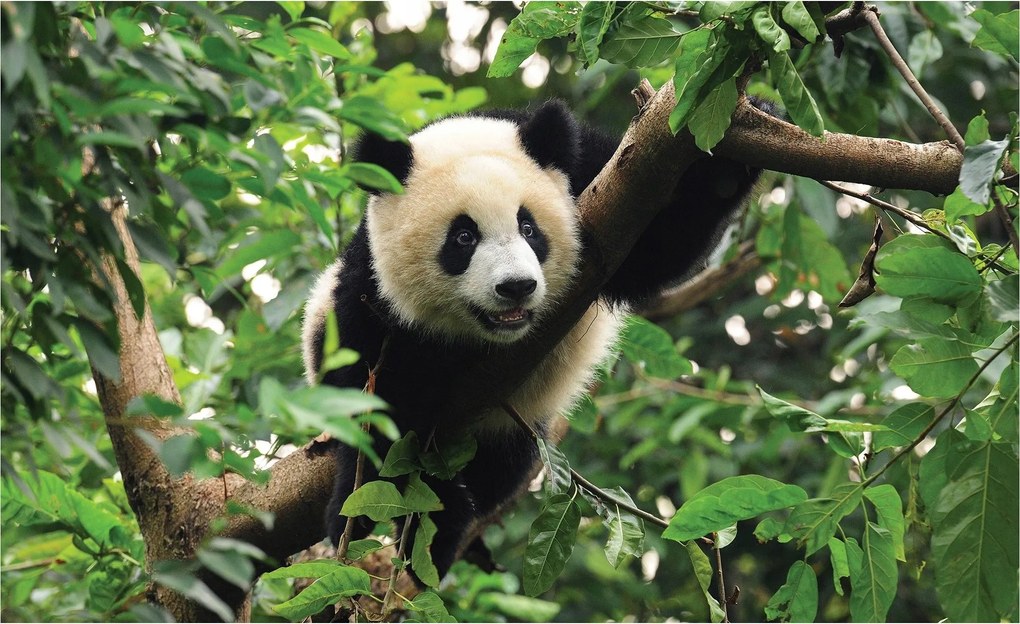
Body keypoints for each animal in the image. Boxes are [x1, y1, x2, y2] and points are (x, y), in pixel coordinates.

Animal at [302, 99, 768, 585]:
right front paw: (364, 511)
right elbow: (377, 404)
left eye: (529, 228)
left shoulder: (597, 180)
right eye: (463, 237)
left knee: (500, 472)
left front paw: (738, 145)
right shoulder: (371, 294)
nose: (516, 287)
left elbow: (657, 246)